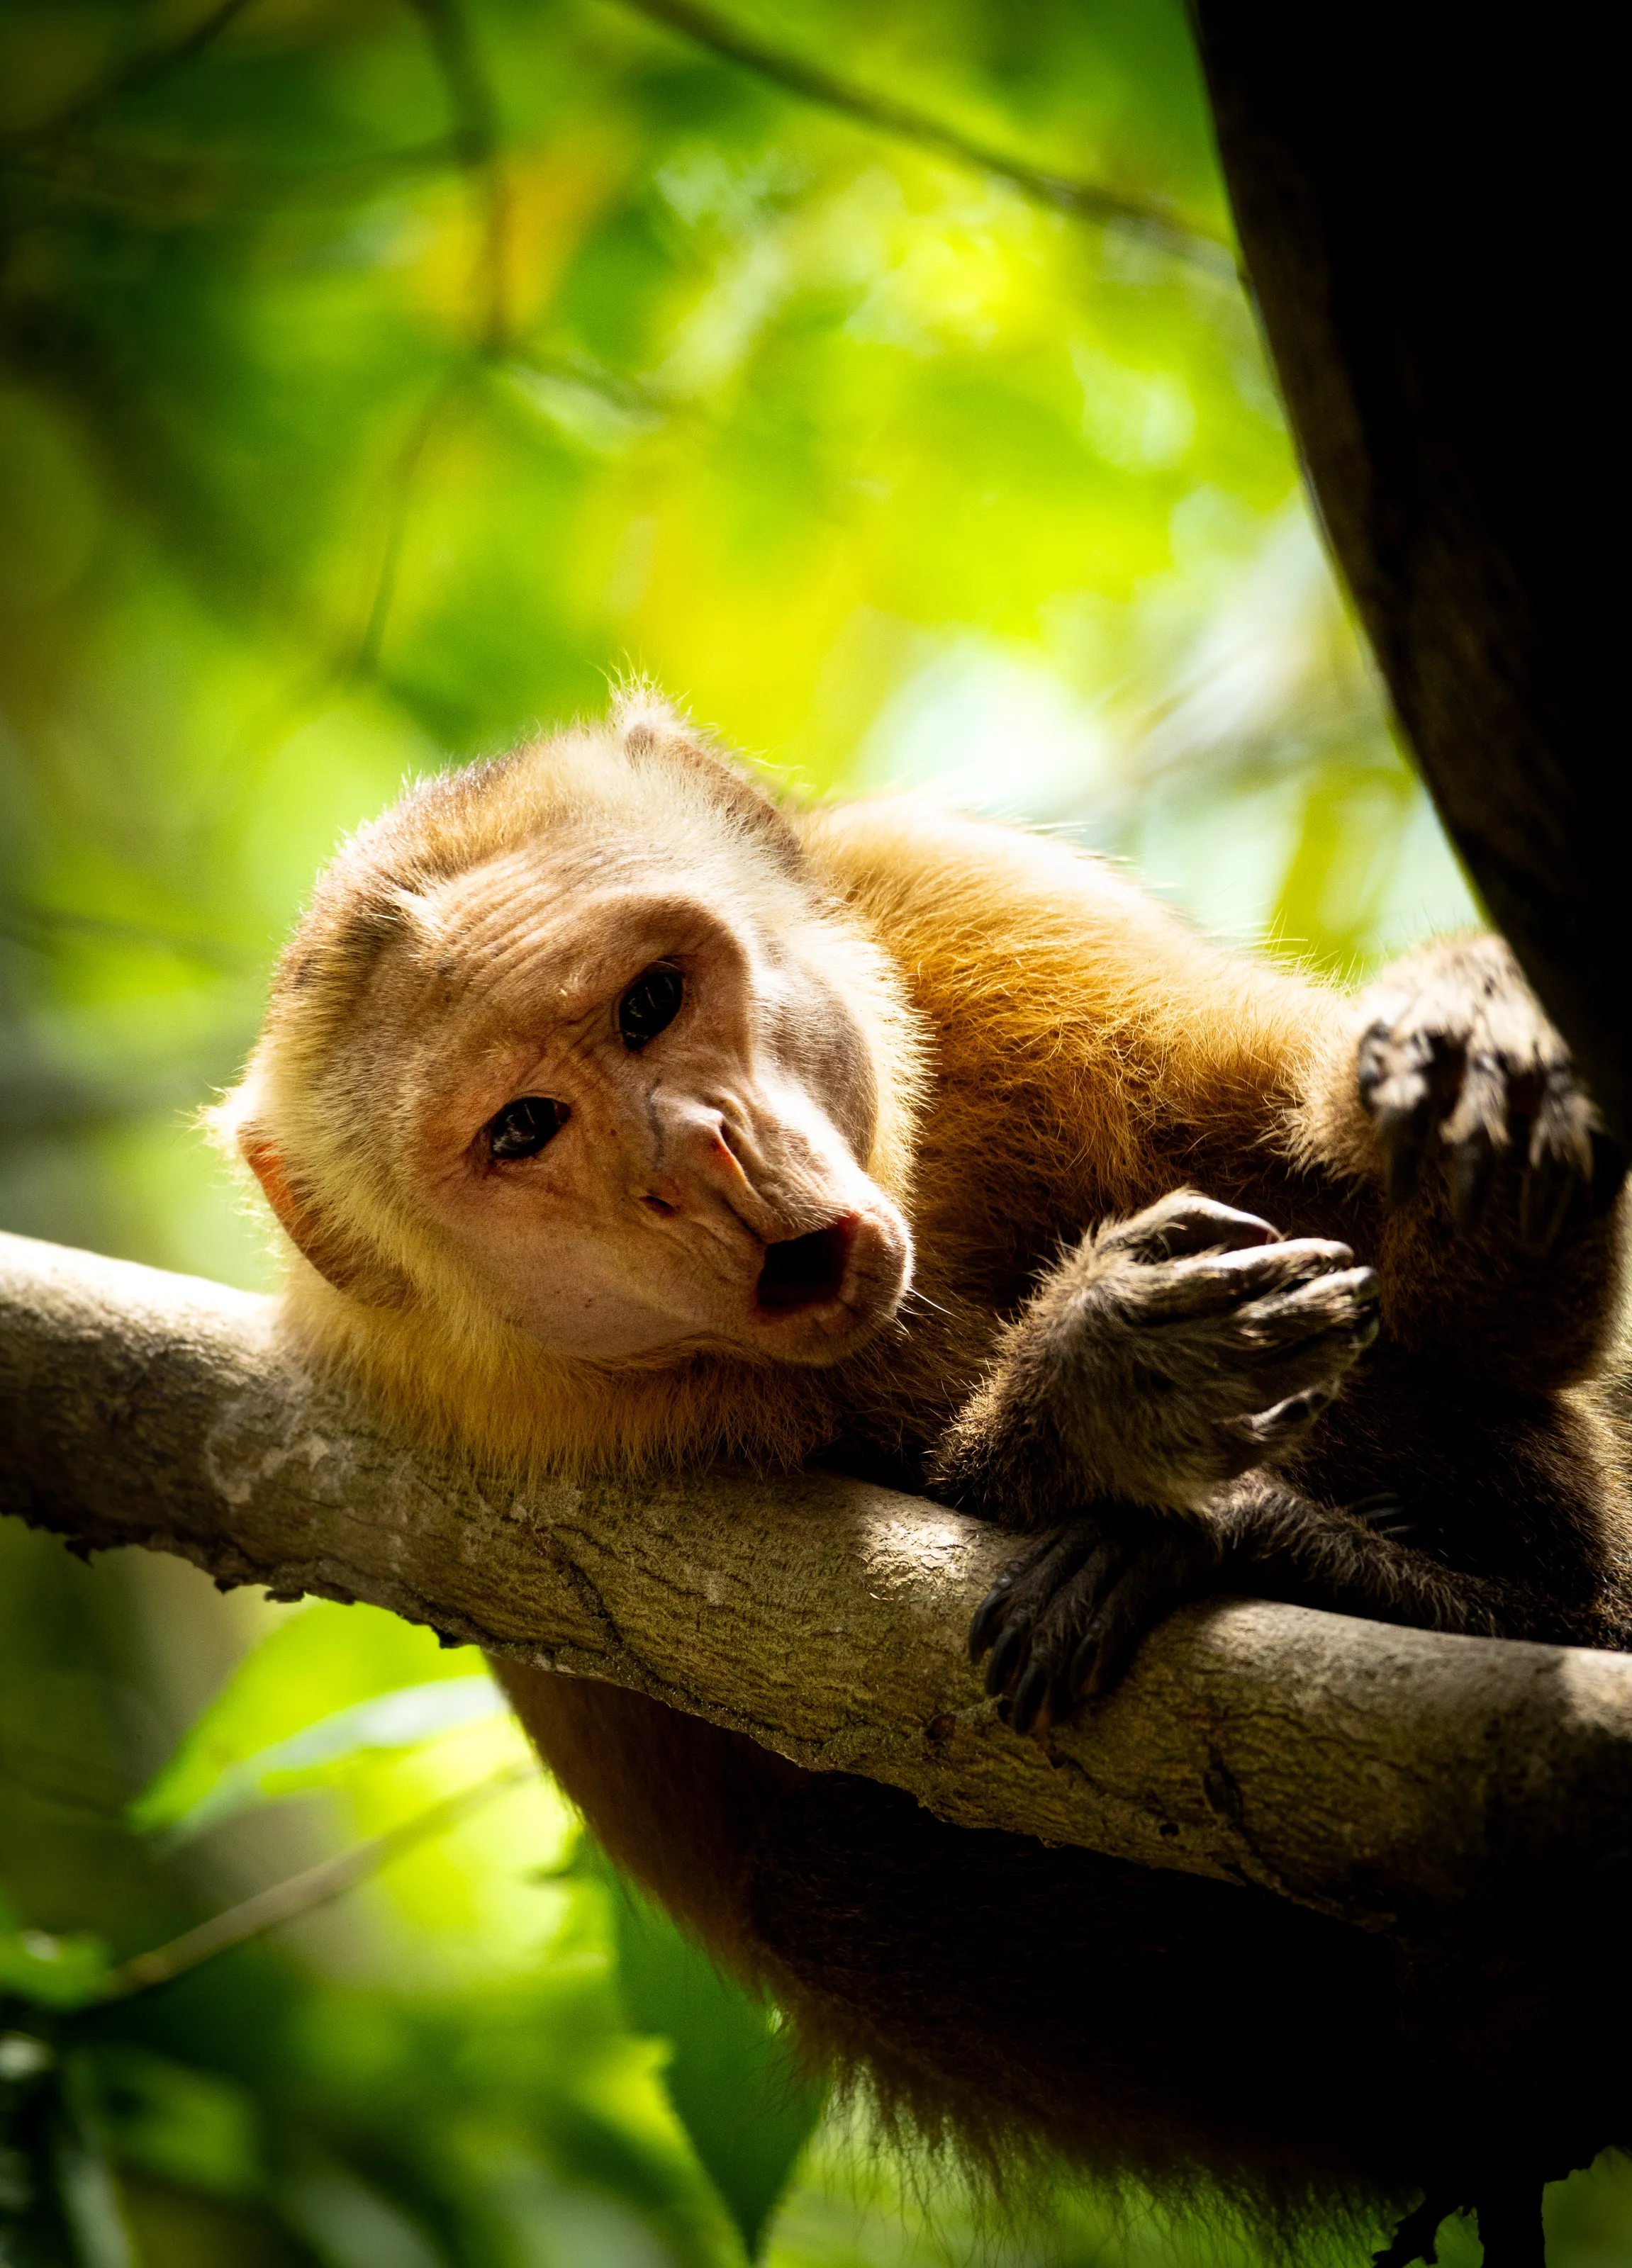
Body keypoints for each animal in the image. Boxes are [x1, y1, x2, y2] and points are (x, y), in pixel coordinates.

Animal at [218, 689, 1631, 2264]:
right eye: (523, 1127)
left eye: (649, 1004)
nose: (697, 1156)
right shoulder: (486, 1420)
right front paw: (1098, 1383)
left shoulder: (983, 910)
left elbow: (1488, 1324)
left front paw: (1483, 1048)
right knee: (830, 1892)